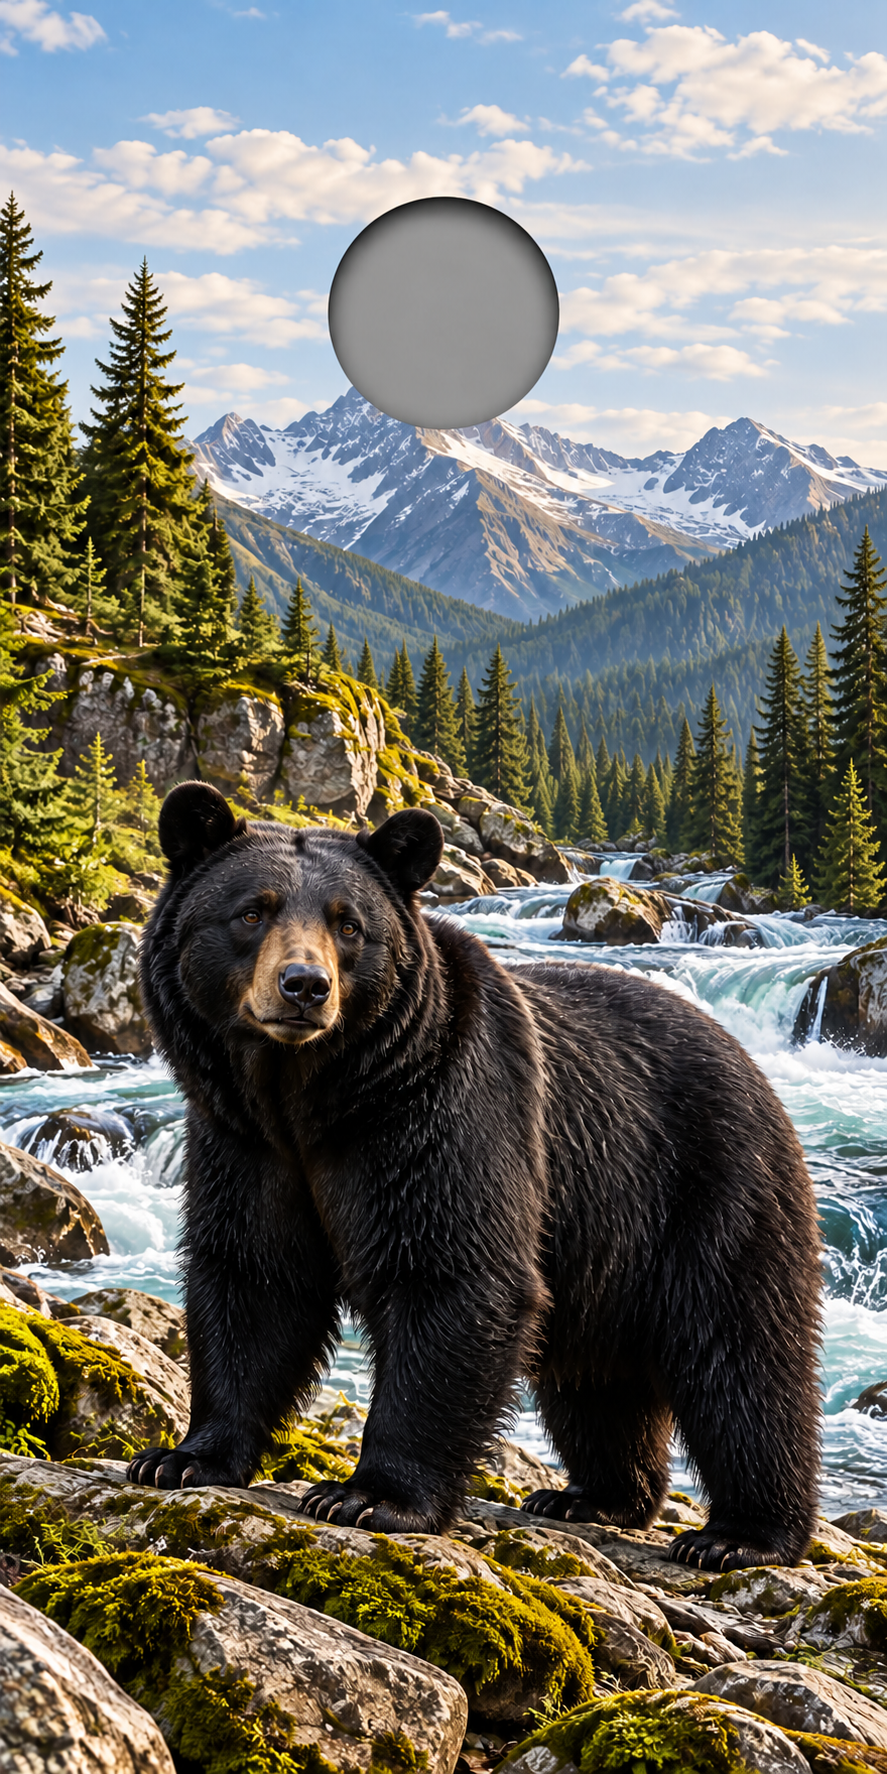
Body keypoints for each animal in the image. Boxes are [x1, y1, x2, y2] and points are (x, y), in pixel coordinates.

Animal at [127, 780, 822, 1571]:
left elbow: (452, 1276)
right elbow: (251, 1275)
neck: (311, 1096)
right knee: (595, 1379)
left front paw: (369, 1495)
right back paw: (594, 1496)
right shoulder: (241, 1141)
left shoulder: (439, 1117)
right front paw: (182, 1457)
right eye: (251, 910)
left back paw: (740, 1534)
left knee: (740, 1356)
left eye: (348, 924)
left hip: (712, 1187)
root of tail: (751, 1062)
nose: (303, 986)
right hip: (605, 1248)